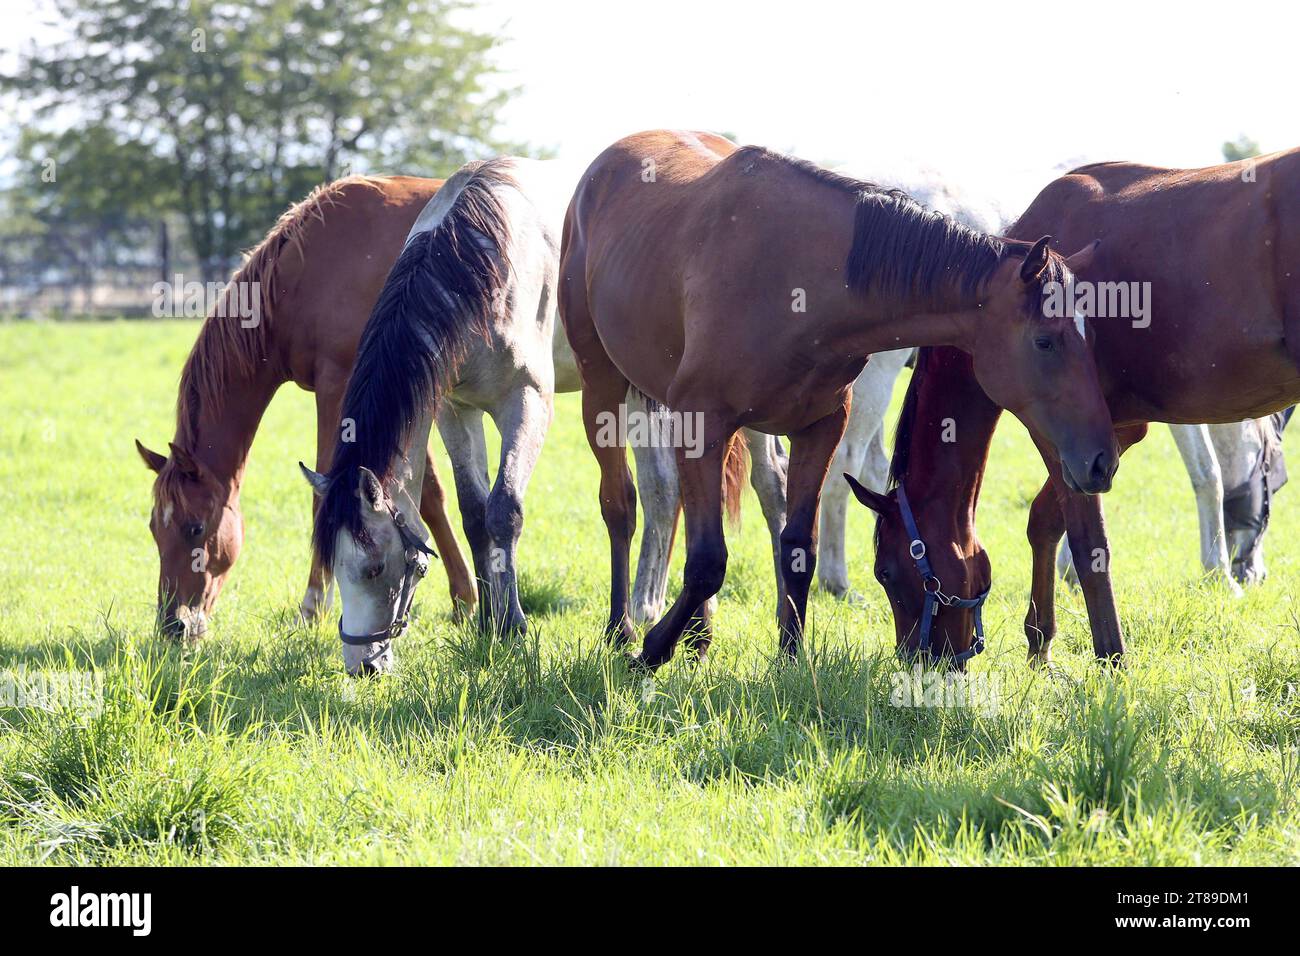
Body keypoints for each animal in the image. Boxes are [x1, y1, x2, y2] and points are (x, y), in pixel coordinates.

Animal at [134, 178, 478, 642]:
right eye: (155, 529)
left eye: (195, 528)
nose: (174, 624)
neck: (303, 272)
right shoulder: (401, 391)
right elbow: (429, 498)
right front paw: (464, 599)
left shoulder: (341, 388)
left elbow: (325, 496)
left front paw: (313, 606)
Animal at [559, 128, 1118, 671]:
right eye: (1045, 341)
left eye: (1090, 335)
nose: (1101, 460)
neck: (800, 280)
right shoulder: (702, 422)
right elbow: (706, 561)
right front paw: (652, 650)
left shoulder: (820, 427)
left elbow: (796, 546)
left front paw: (789, 659)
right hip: (602, 387)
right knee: (621, 504)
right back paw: (622, 627)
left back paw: (697, 634)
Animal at [847, 149, 1300, 671]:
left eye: (885, 572)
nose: (916, 659)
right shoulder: (1110, 434)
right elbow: (1046, 519)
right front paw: (1040, 640)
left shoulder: (1074, 442)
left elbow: (1085, 540)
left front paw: (1110, 657)